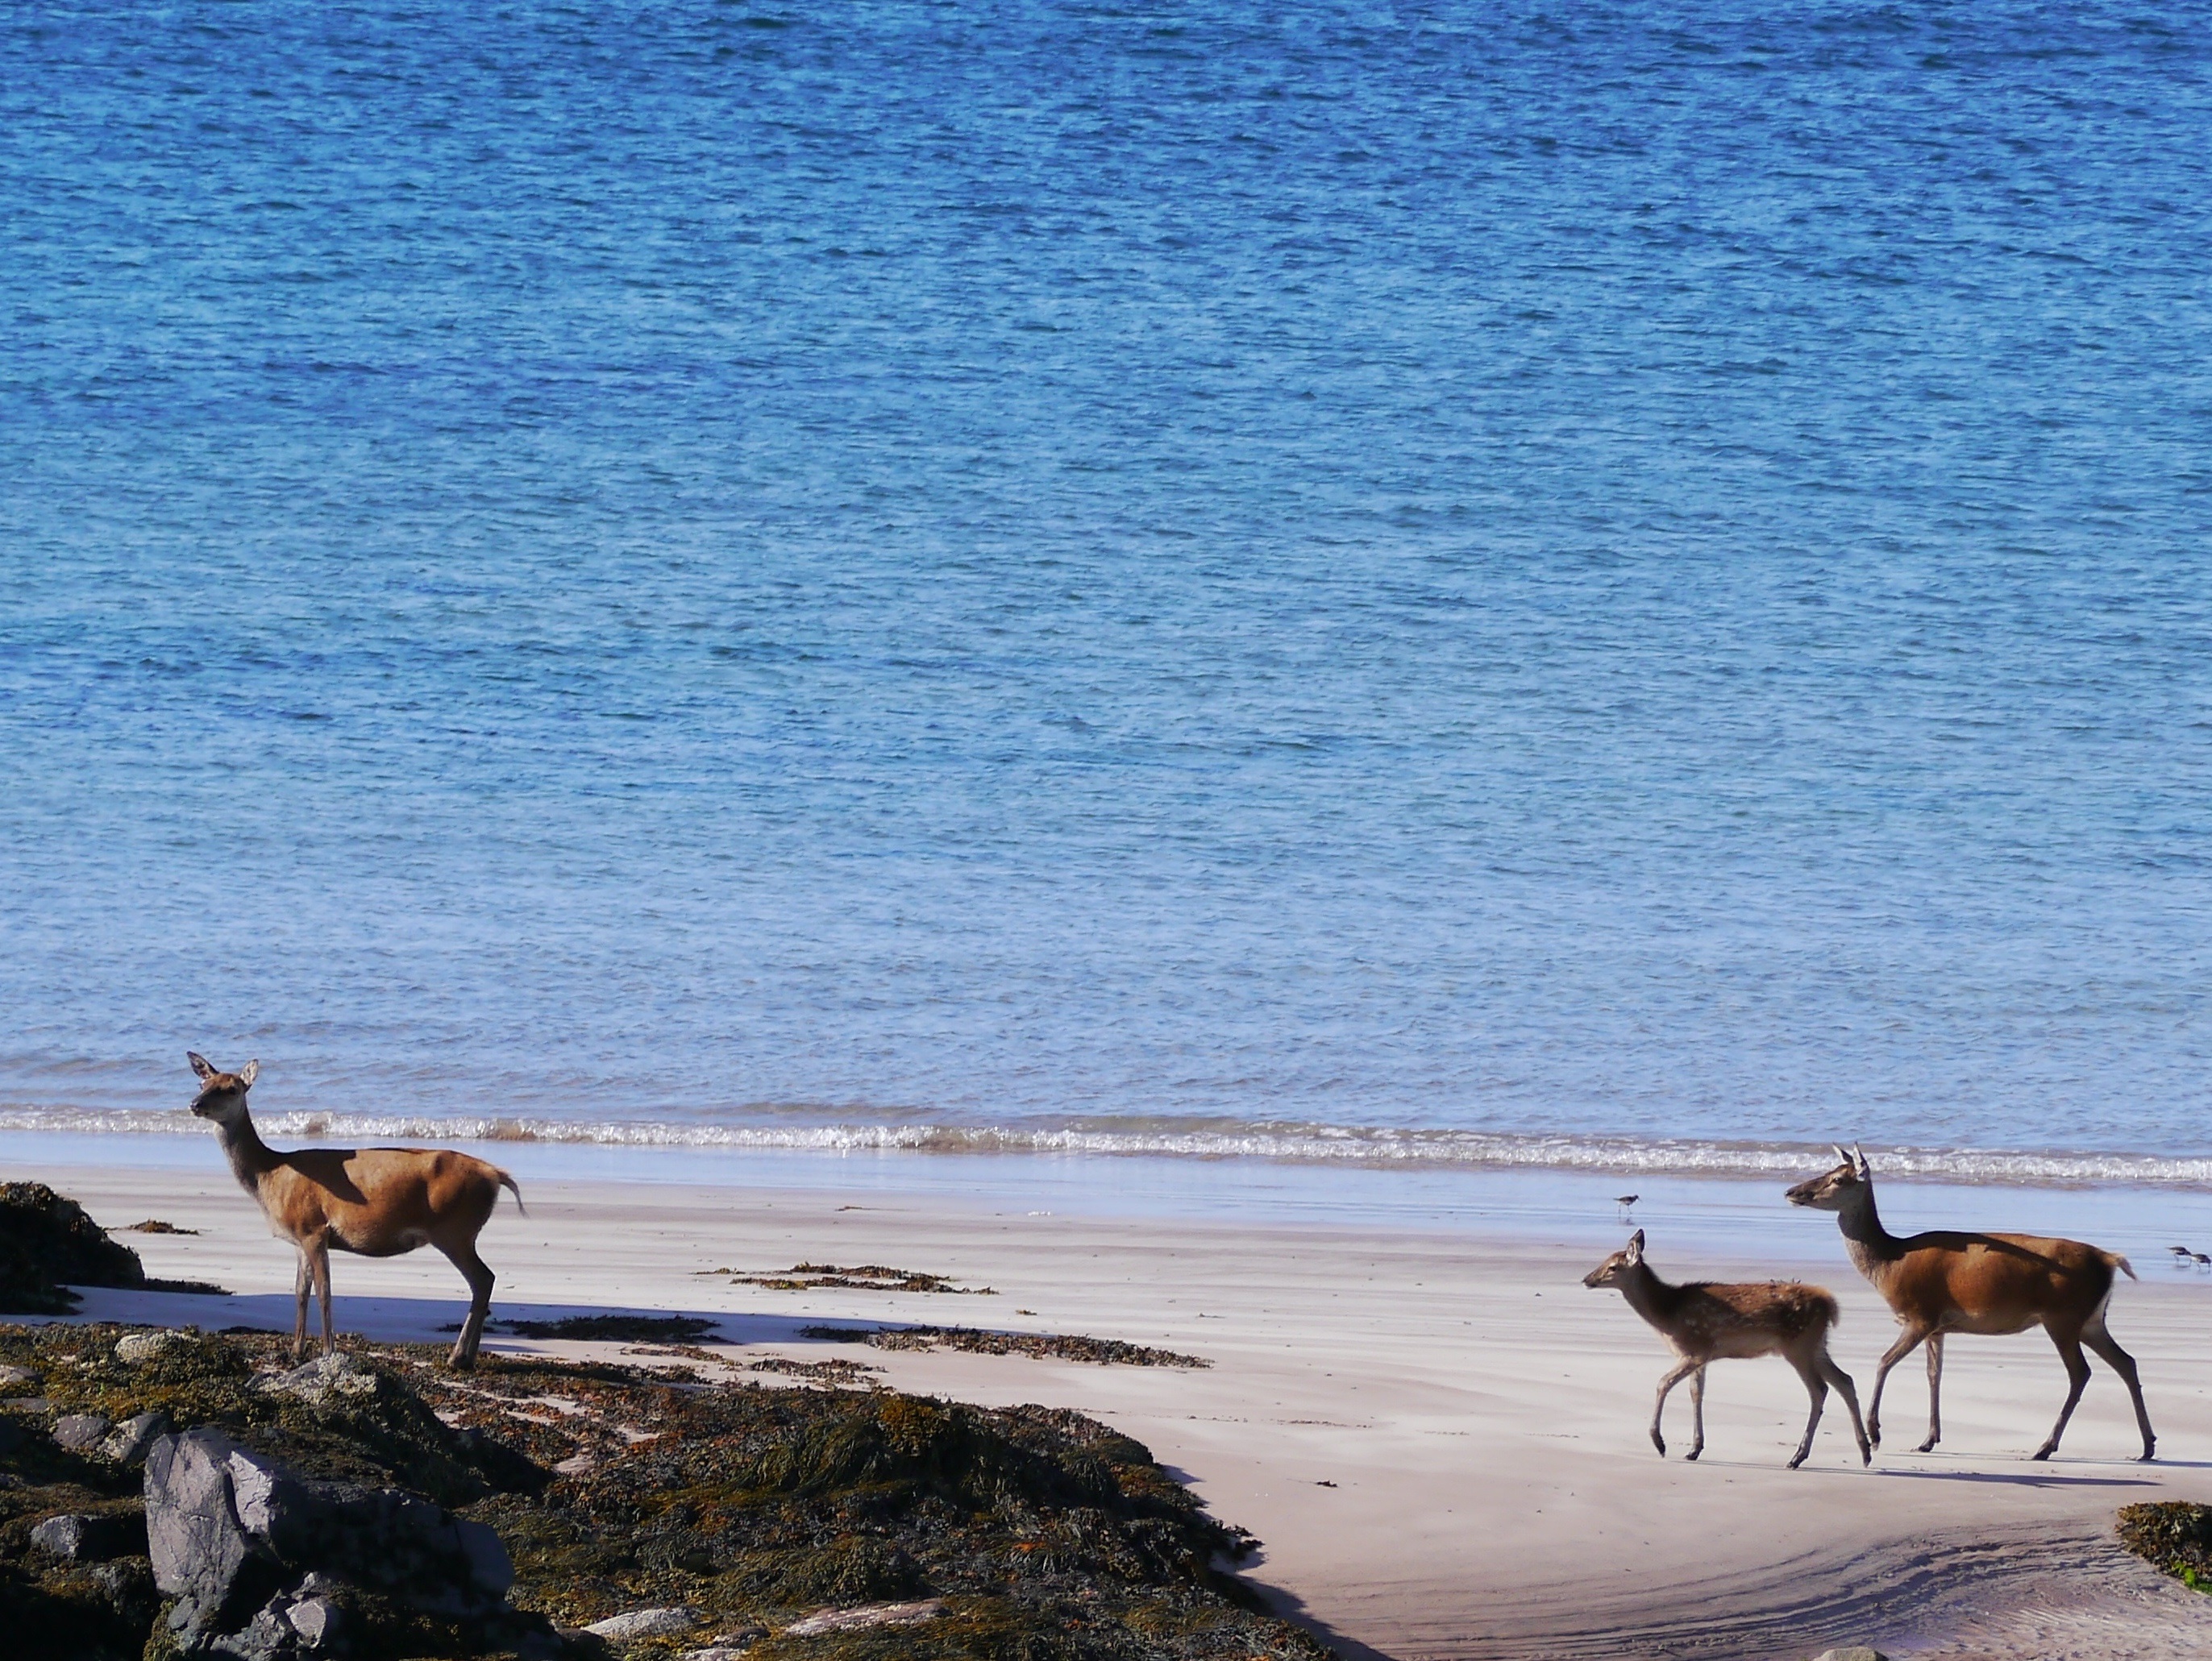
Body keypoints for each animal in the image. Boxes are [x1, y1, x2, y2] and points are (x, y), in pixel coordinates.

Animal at [185, 1057, 522, 1371]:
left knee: (483, 1279)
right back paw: (466, 1357)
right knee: (484, 1281)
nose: (194, 1104)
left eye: (232, 1088)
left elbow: (324, 1291)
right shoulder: (299, 1239)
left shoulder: (314, 1228)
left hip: (455, 1230)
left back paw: (458, 1356)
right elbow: (300, 1291)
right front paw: (295, 1351)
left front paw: (327, 1351)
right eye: (203, 1084)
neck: (269, 1175)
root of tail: (496, 1175)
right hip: (459, 1231)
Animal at [1583, 1220, 1875, 1468]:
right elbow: (1696, 1393)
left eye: (1613, 1267)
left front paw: (1660, 1443)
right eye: (1605, 1260)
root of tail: (1829, 1304)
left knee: (1819, 1389)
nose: (1587, 1279)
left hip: (1798, 1345)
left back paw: (1797, 1457)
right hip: (1816, 1345)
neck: (1668, 1312)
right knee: (1844, 1380)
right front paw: (1694, 1449)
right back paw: (1865, 1452)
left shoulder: (1695, 1347)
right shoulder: (1702, 1355)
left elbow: (1663, 1383)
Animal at [1787, 1150, 2150, 1460]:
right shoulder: (1938, 1327)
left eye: (1838, 1179)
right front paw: (1928, 1439)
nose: (1792, 1191)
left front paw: (1877, 1434)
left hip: (2063, 1318)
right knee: (2126, 1362)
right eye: (1829, 1171)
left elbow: (1884, 1362)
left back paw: (2045, 1447)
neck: (1889, 1264)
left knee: (2081, 1373)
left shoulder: (1920, 1315)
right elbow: (1934, 1374)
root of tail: (2109, 1260)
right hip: (2092, 1320)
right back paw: (2147, 1446)